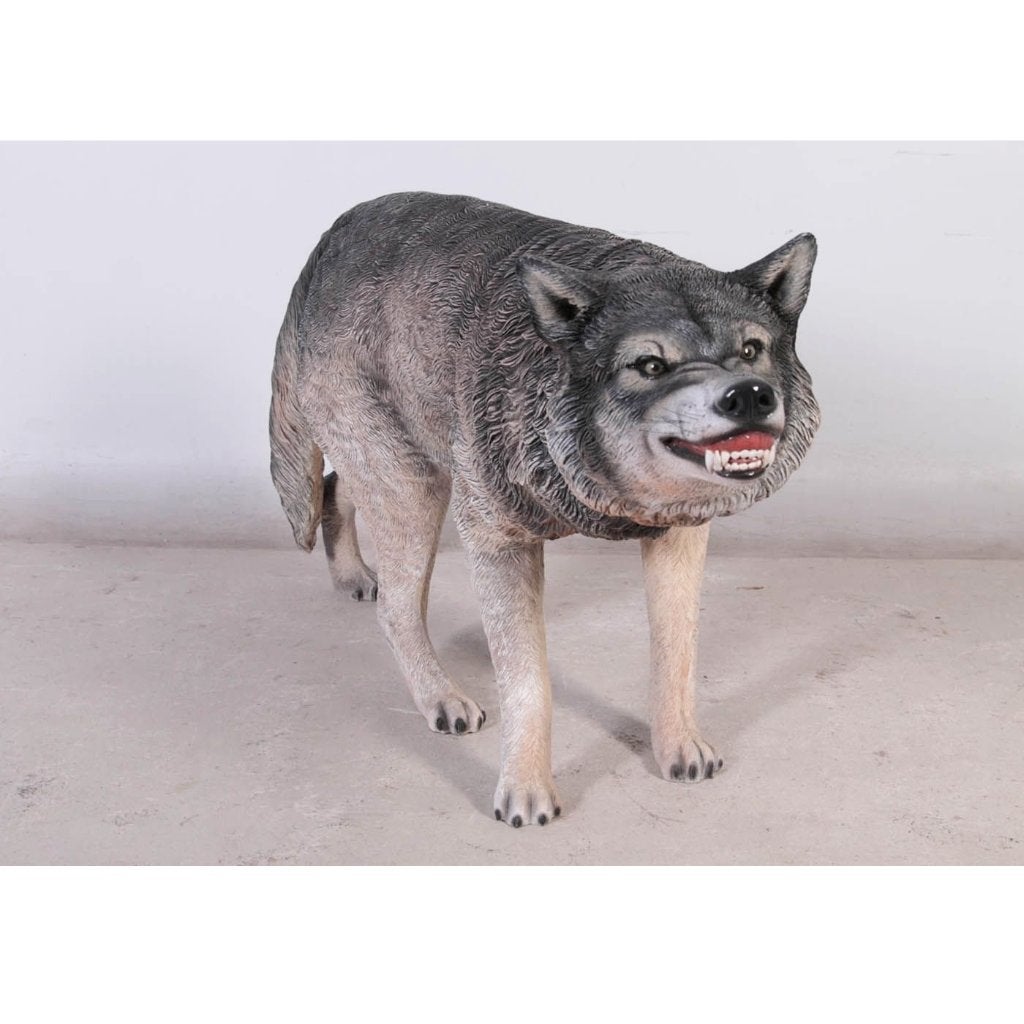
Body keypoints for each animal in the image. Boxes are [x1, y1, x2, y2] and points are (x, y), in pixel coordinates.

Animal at [270, 192, 819, 827]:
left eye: (751, 351)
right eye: (650, 365)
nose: (748, 395)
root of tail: (331, 239)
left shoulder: (679, 533)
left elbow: (676, 652)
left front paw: (678, 746)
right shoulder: (499, 542)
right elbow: (529, 684)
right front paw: (526, 789)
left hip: (402, 470)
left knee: (334, 487)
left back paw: (354, 576)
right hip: (415, 489)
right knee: (396, 609)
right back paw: (441, 697)